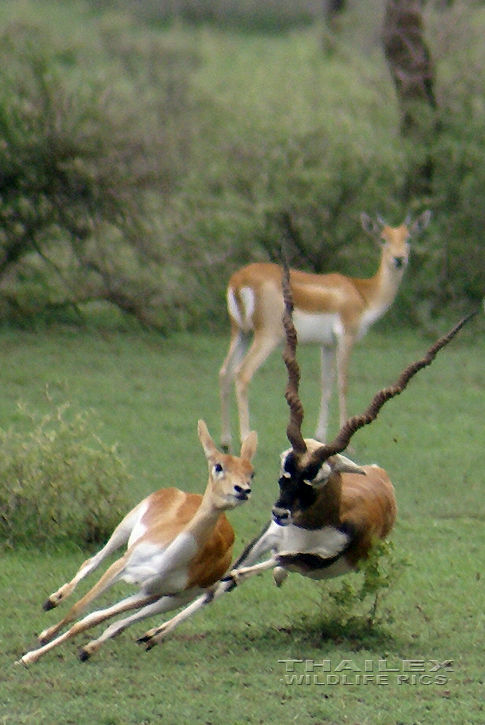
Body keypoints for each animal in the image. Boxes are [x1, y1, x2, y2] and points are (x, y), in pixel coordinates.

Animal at [18, 418, 258, 660]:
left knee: (121, 622)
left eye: (251, 473)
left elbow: (91, 619)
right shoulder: (121, 566)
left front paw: (31, 656)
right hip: (126, 526)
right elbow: (78, 609)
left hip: (176, 599)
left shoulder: (150, 592)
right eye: (218, 466)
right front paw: (36, 646)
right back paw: (52, 601)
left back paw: (89, 649)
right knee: (91, 562)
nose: (242, 490)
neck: (168, 559)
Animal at [136, 268, 472, 652]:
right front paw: (151, 633)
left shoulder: (313, 559)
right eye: (284, 474)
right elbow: (220, 585)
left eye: (314, 480)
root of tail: (380, 475)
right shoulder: (266, 538)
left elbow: (260, 567)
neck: (308, 527)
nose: (280, 512)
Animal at [221, 206, 430, 450]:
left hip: (241, 333)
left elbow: (326, 383)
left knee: (225, 372)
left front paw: (320, 436)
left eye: (408, 238)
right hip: (267, 336)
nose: (399, 259)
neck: (363, 294)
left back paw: (225, 442)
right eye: (383, 239)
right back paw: (246, 438)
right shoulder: (346, 338)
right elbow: (343, 383)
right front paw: (348, 444)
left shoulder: (327, 344)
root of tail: (238, 280)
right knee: (242, 373)